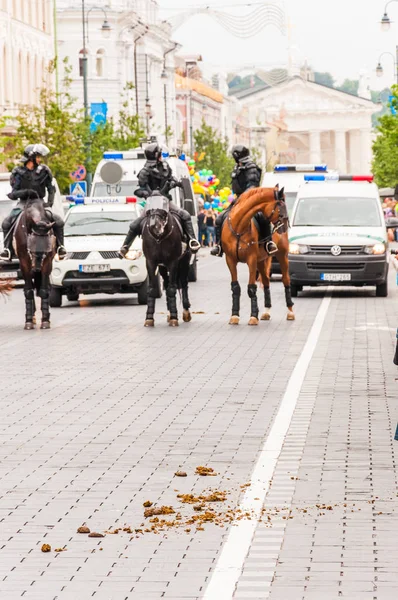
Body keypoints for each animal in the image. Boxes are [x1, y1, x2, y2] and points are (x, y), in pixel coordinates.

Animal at [141, 193, 193, 328]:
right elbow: (152, 289)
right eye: (149, 207)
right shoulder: (151, 262)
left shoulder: (173, 262)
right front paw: (149, 318)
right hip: (163, 267)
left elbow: (172, 288)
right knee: (166, 282)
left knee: (183, 283)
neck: (159, 238)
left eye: (164, 205)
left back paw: (185, 312)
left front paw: (174, 317)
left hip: (184, 262)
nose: (155, 226)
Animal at [222, 188, 294, 328]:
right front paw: (234, 316)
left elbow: (251, 288)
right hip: (261, 261)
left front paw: (253, 316)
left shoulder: (251, 260)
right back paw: (266, 311)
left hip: (282, 257)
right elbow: (235, 287)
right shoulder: (230, 260)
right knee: (266, 282)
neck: (239, 228)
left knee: (286, 280)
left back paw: (290, 311)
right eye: (281, 206)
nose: (284, 227)